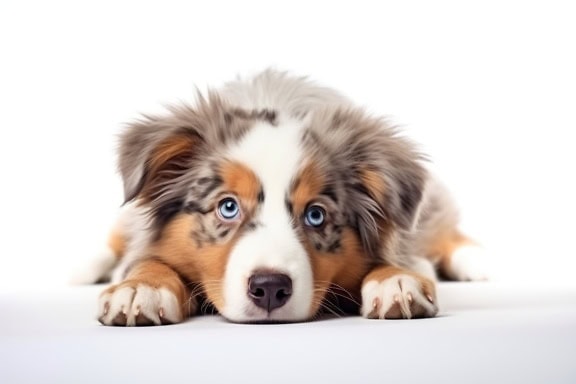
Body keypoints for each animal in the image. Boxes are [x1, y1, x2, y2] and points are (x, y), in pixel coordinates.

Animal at [79, 69, 488, 324]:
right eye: (227, 207)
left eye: (316, 215)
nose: (269, 289)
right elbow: (147, 259)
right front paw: (138, 289)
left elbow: (389, 260)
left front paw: (397, 281)